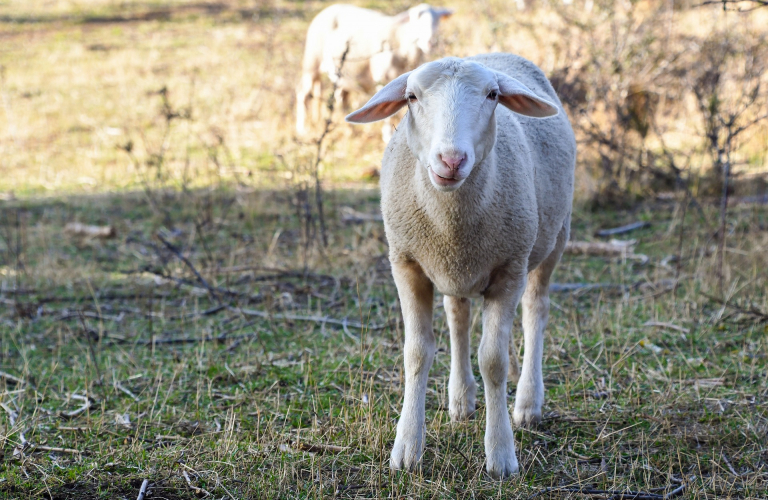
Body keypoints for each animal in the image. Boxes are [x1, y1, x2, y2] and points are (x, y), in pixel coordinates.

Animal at [292, 2, 450, 135]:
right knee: (302, 93)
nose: (430, 43)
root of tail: (328, 9)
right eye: (416, 20)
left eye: (436, 22)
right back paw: (302, 129)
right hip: (312, 61)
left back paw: (350, 131)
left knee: (341, 99)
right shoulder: (382, 77)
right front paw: (388, 134)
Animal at [346, 52, 576, 478]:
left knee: (536, 311)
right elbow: (416, 353)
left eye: (492, 95)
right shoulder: (406, 264)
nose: (451, 160)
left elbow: (494, 361)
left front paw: (501, 455)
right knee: (458, 317)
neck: (451, 219)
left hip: (554, 237)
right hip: (457, 268)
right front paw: (407, 449)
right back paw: (461, 399)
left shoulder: (509, 269)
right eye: (411, 97)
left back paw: (527, 404)